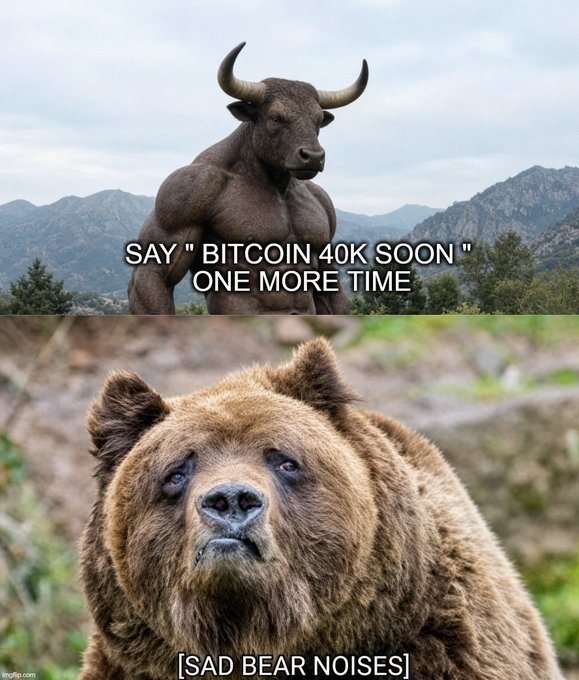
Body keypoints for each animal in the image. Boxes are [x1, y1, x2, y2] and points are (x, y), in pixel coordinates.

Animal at [128, 42, 368, 314]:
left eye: (317, 121)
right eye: (275, 117)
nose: (313, 156)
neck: (274, 181)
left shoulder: (323, 204)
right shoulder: (181, 193)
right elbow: (155, 273)